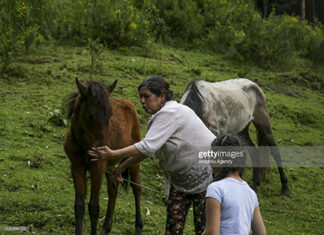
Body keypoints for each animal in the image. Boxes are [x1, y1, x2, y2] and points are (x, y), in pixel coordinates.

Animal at [64, 78, 142, 234]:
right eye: (90, 115)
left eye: (110, 114)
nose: (103, 149)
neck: (84, 145)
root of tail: (130, 104)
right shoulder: (76, 166)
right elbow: (79, 206)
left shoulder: (98, 167)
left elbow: (94, 206)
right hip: (111, 166)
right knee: (113, 189)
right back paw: (106, 228)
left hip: (133, 159)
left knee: (136, 188)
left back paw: (138, 227)